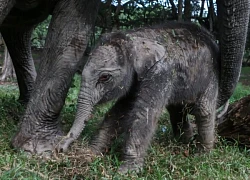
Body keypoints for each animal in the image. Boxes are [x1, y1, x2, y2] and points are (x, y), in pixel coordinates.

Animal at [56, 22, 219, 173]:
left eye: (104, 77)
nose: (60, 148)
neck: (135, 38)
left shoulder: (162, 72)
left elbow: (144, 113)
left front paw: (126, 171)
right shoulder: (135, 79)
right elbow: (120, 111)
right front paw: (91, 154)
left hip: (211, 76)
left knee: (203, 110)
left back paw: (202, 155)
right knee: (176, 111)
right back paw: (183, 144)